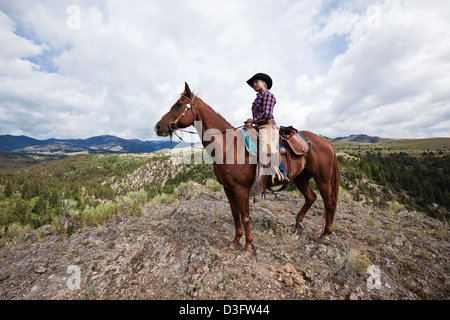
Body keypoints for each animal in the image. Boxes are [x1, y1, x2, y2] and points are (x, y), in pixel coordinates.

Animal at [156, 82, 340, 252]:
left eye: (179, 104)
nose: (157, 126)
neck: (229, 146)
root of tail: (325, 141)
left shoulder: (241, 188)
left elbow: (245, 216)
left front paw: (248, 245)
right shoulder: (228, 188)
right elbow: (235, 214)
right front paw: (236, 240)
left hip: (322, 178)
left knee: (329, 201)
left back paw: (325, 235)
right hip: (301, 178)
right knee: (311, 197)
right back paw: (299, 224)